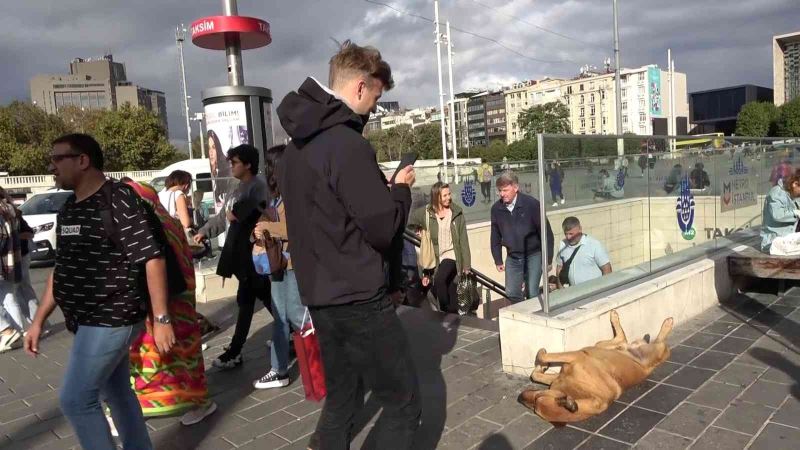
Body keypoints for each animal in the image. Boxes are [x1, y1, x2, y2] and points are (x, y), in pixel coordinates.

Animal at [520, 310, 672, 422]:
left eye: (537, 398)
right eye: (534, 406)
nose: (521, 397)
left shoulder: (575, 356)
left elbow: (543, 356)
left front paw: (542, 356)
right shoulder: (560, 375)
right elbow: (536, 374)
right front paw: (542, 367)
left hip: (656, 349)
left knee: (659, 342)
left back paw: (668, 323)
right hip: (601, 346)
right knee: (621, 339)